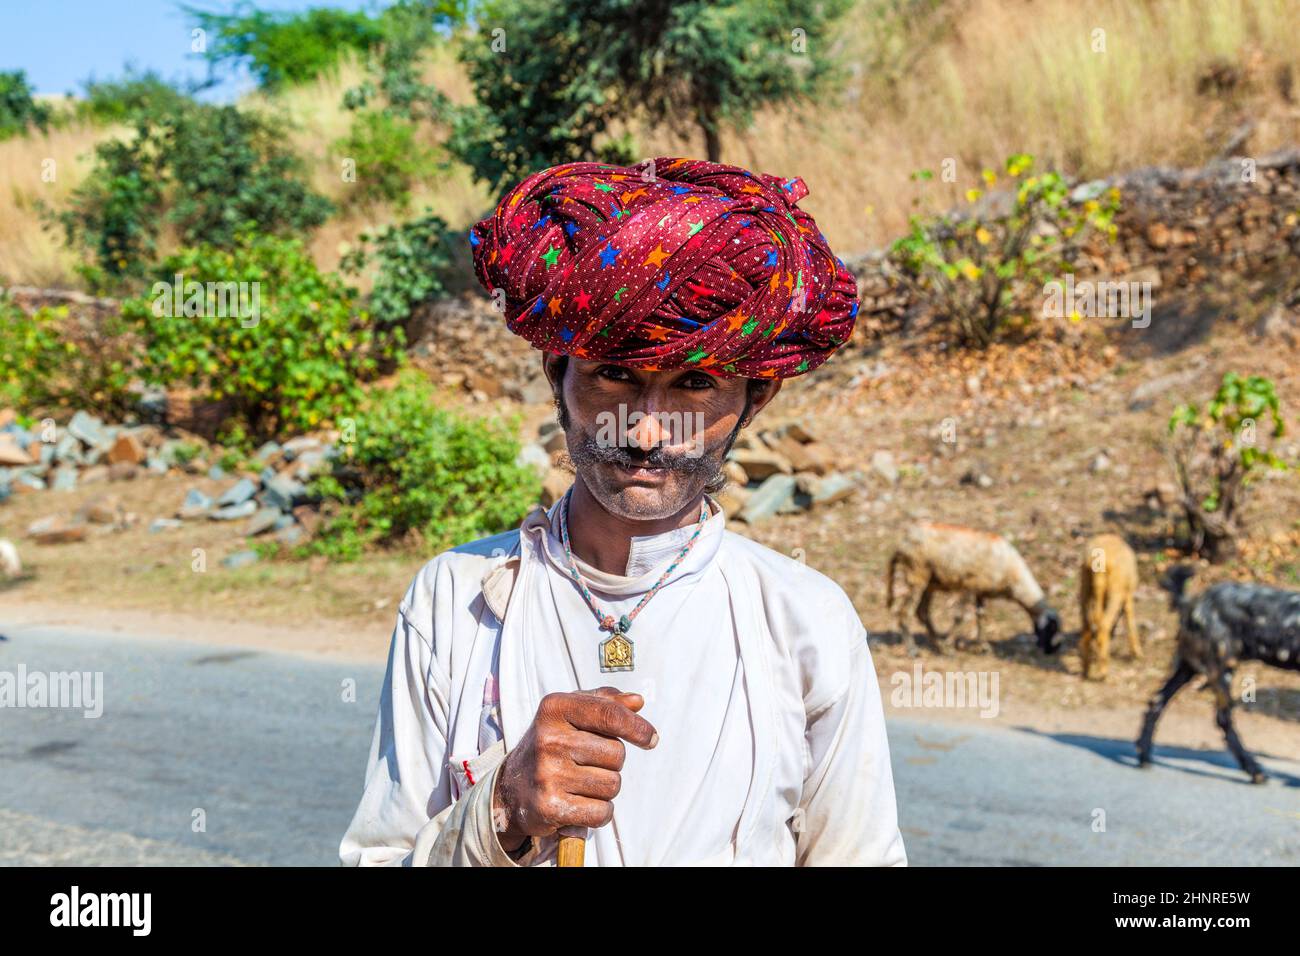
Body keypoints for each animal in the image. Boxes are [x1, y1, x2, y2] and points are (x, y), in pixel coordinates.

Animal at [883, 522, 1055, 658]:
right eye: (1051, 630)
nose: (1049, 652)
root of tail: (903, 541)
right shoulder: (968, 586)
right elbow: (959, 617)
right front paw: (951, 643)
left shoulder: (980, 591)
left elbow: (981, 617)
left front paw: (983, 647)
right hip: (917, 575)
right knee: (905, 613)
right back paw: (915, 650)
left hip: (930, 583)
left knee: (922, 612)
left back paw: (939, 646)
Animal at [1076, 535, 1138, 686]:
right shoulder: (1127, 594)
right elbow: (1130, 619)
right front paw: (1137, 653)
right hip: (1115, 592)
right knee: (1103, 625)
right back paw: (1104, 672)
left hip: (1085, 588)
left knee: (1087, 626)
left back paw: (1086, 669)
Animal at [1138, 567, 1300, 785]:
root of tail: (1193, 602)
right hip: (1221, 670)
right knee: (1223, 718)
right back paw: (1253, 770)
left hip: (1187, 668)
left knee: (1157, 701)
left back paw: (1144, 756)